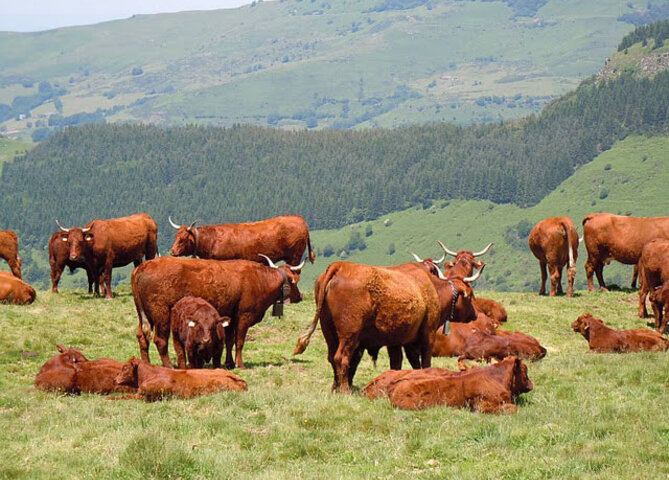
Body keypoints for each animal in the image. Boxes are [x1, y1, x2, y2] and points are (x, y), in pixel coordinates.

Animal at [132, 256, 304, 370]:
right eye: (294, 282)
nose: (300, 296)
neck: (260, 279)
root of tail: (144, 266)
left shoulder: (231, 317)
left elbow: (229, 341)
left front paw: (229, 363)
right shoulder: (244, 316)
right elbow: (240, 341)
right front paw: (240, 364)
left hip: (144, 316)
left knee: (142, 337)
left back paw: (146, 364)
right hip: (161, 315)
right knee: (160, 340)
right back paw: (169, 366)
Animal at [166, 215, 314, 266]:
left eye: (183, 239)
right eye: (176, 236)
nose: (172, 251)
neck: (212, 240)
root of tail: (299, 218)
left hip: (295, 256)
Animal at [294, 260, 480, 392]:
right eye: (470, 296)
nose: (475, 315)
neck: (432, 288)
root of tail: (340, 266)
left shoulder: (399, 342)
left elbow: (400, 363)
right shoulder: (428, 336)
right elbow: (425, 362)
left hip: (329, 333)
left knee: (332, 357)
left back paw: (335, 388)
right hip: (349, 335)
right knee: (341, 358)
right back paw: (345, 390)